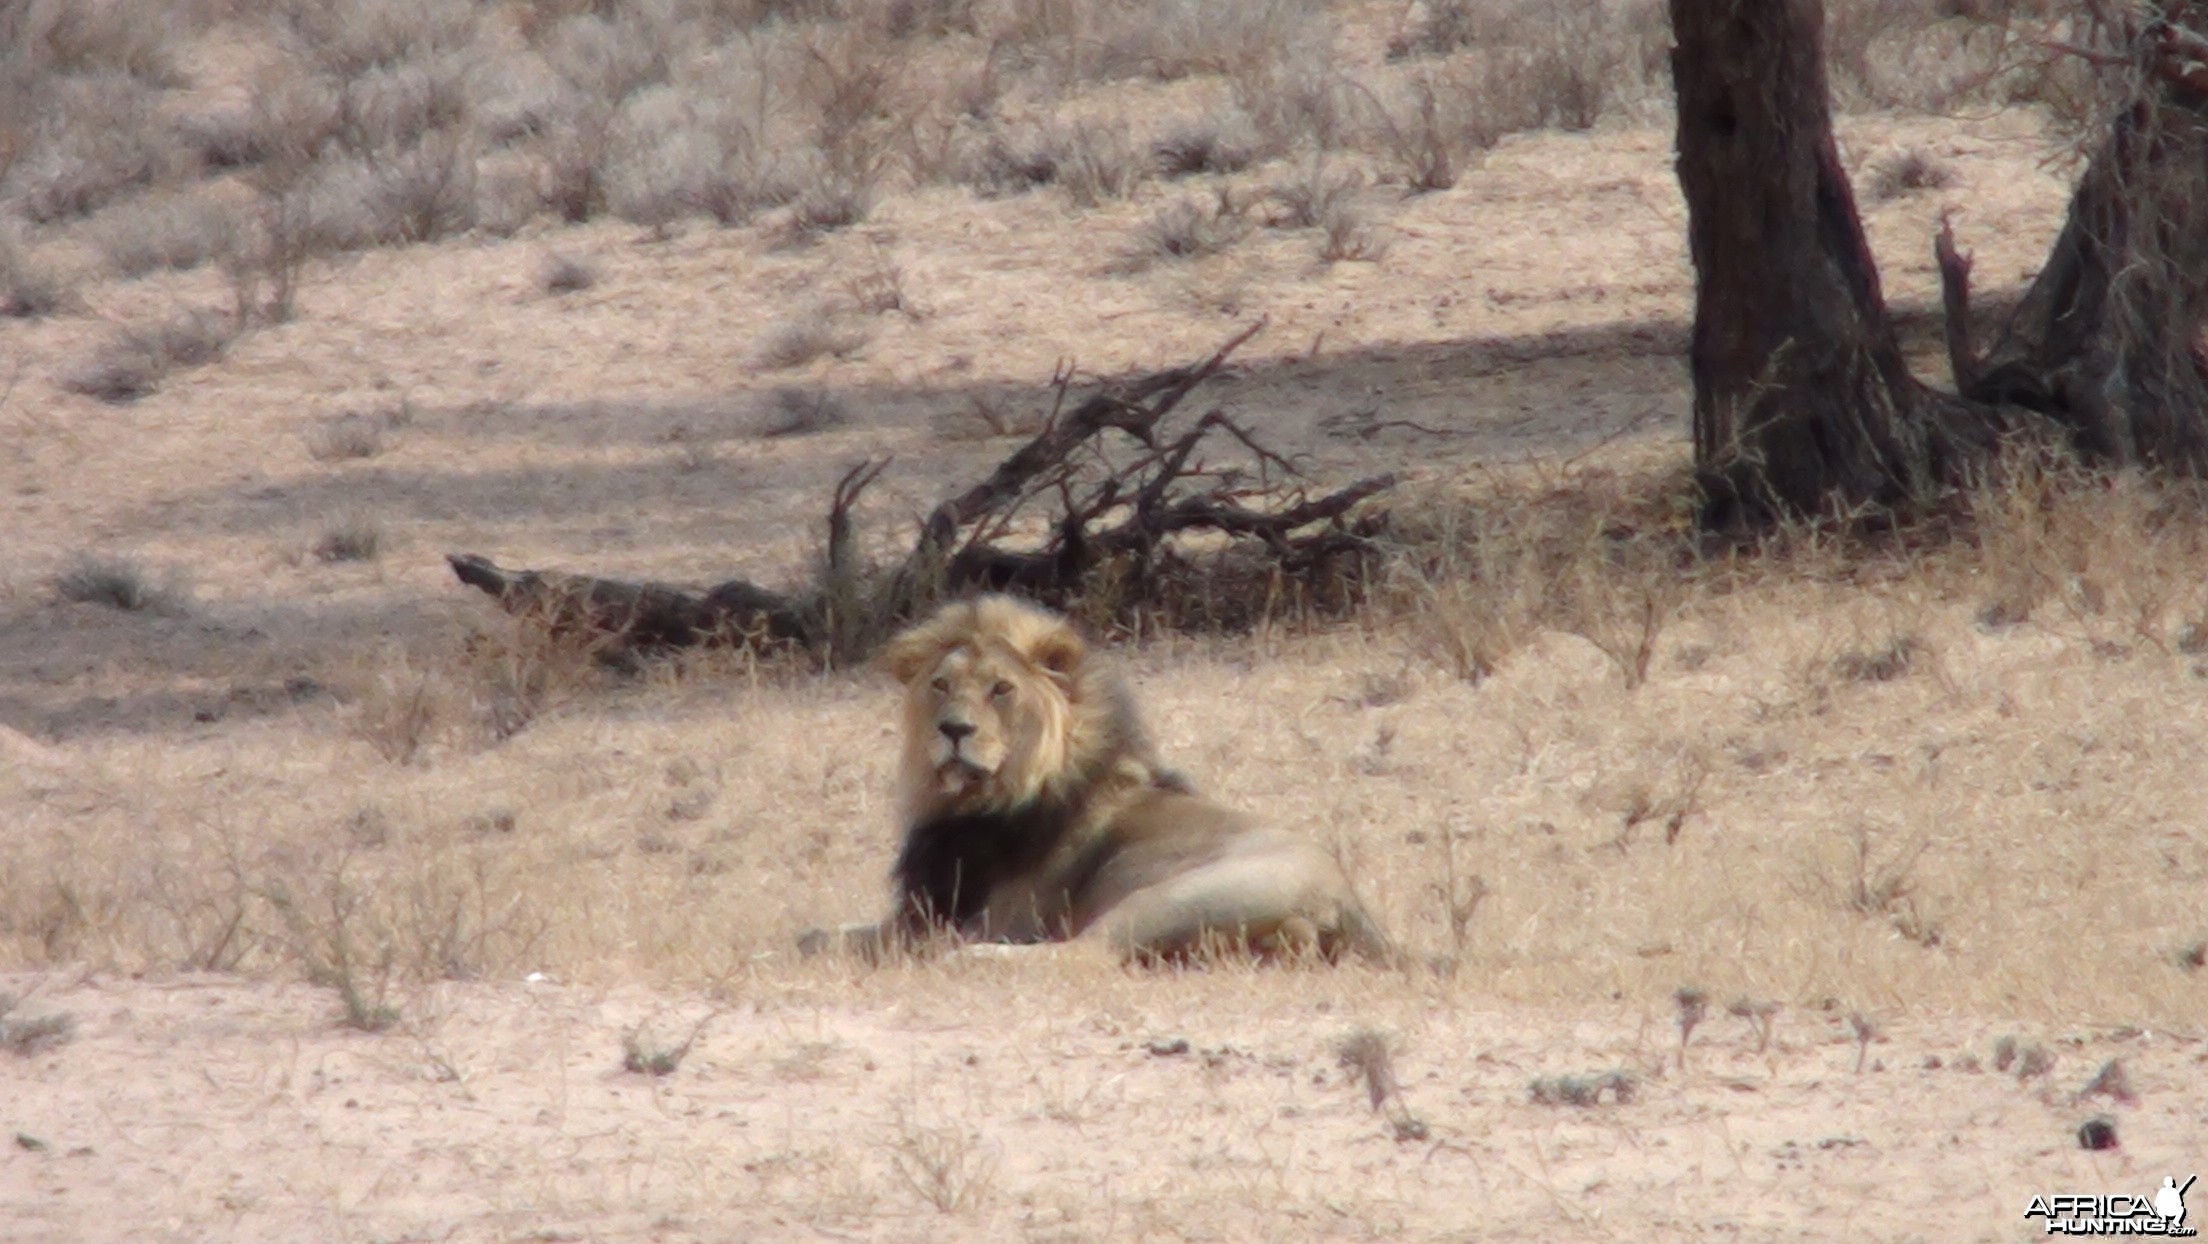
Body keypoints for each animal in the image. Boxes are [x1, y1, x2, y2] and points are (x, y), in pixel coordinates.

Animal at [799, 592, 1395, 963]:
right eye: (940, 684)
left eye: (1001, 688)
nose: (954, 729)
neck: (970, 804)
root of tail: (1350, 901)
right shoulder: (920, 913)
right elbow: (812, 936)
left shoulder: (974, 920)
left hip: (1169, 897)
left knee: (1087, 954)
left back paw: (975, 959)